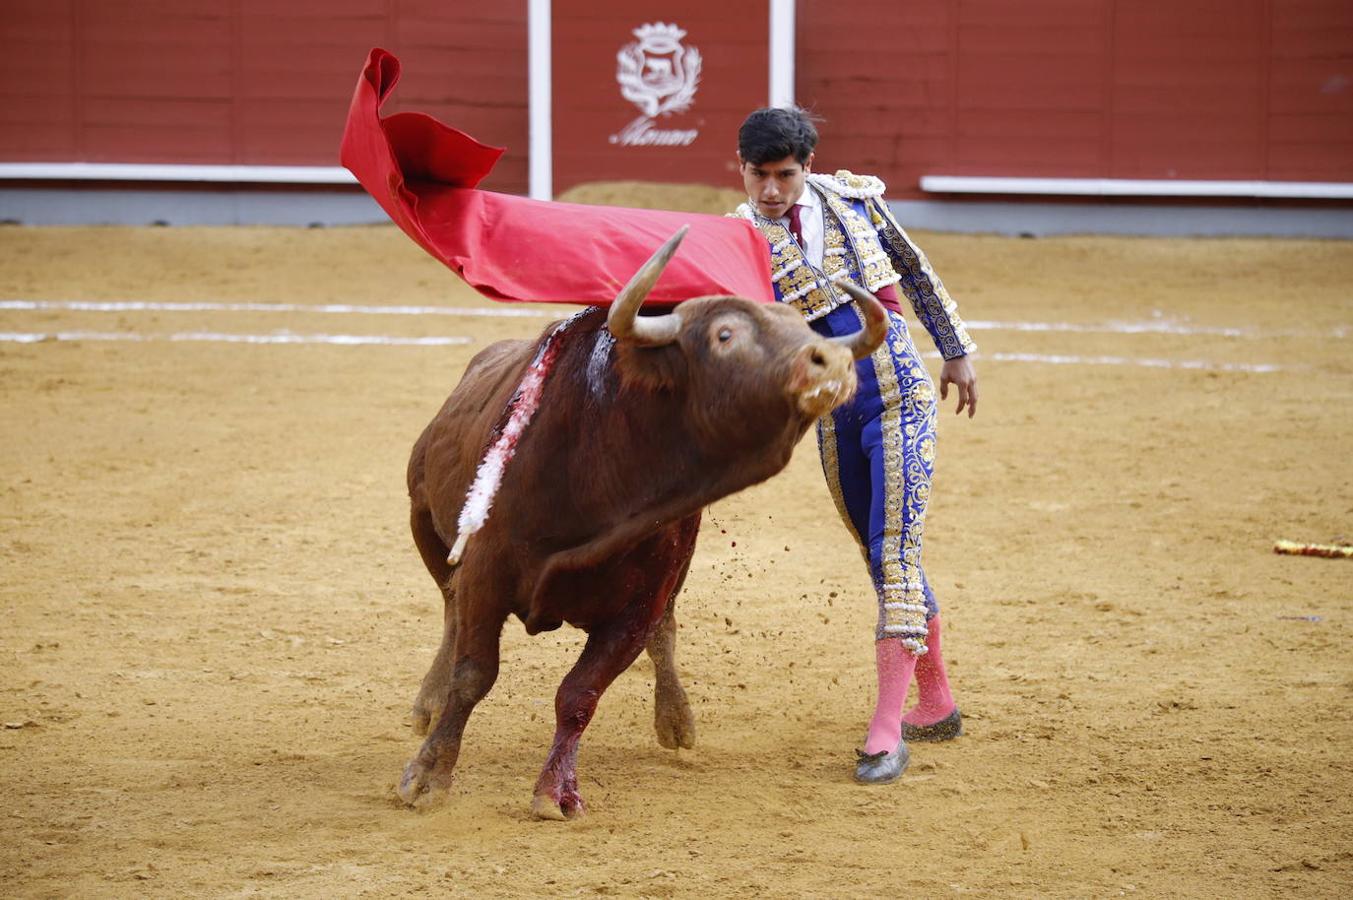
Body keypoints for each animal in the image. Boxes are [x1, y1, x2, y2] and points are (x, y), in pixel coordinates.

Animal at [395, 226, 887, 812]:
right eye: (725, 334)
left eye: (800, 325)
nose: (831, 361)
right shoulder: (484, 574)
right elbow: (473, 675)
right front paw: (426, 776)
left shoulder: (640, 600)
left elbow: (580, 693)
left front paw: (555, 792)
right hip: (423, 520)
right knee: (448, 607)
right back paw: (428, 701)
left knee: (664, 631)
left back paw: (675, 719)